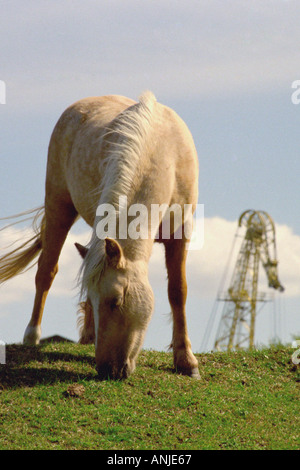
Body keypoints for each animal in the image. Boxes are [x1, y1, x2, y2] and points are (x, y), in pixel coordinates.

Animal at [1, 92, 202, 382]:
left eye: (116, 301)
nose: (108, 370)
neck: (164, 153)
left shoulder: (181, 232)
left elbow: (178, 291)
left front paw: (186, 360)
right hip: (59, 206)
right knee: (46, 272)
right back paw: (33, 336)